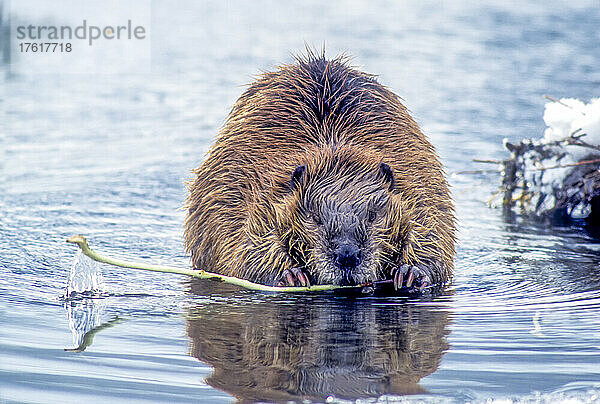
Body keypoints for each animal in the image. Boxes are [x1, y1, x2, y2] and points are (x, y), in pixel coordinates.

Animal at [183, 52, 454, 290]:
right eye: (315, 218)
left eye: (372, 215)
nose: (347, 255)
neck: (334, 150)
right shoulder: (258, 195)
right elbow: (248, 247)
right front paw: (290, 275)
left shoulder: (415, 185)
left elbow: (430, 234)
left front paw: (411, 273)